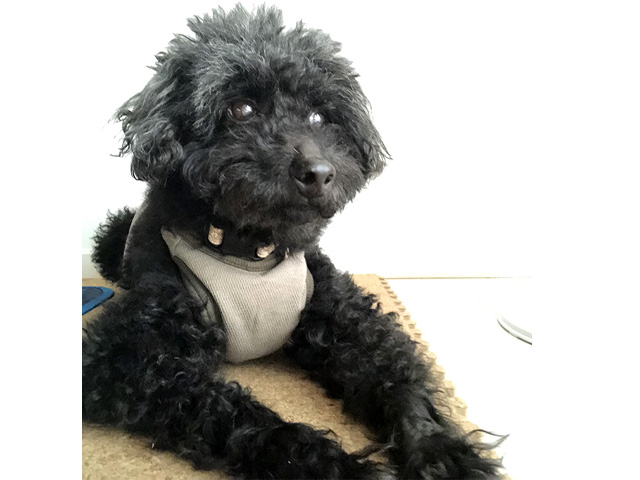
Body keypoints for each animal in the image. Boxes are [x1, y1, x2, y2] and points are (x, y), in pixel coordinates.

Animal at [83, 5, 503, 479]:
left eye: (320, 116)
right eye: (241, 108)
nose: (318, 173)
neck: (253, 250)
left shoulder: (342, 316)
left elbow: (397, 375)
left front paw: (441, 451)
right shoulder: (128, 356)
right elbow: (239, 415)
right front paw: (340, 466)